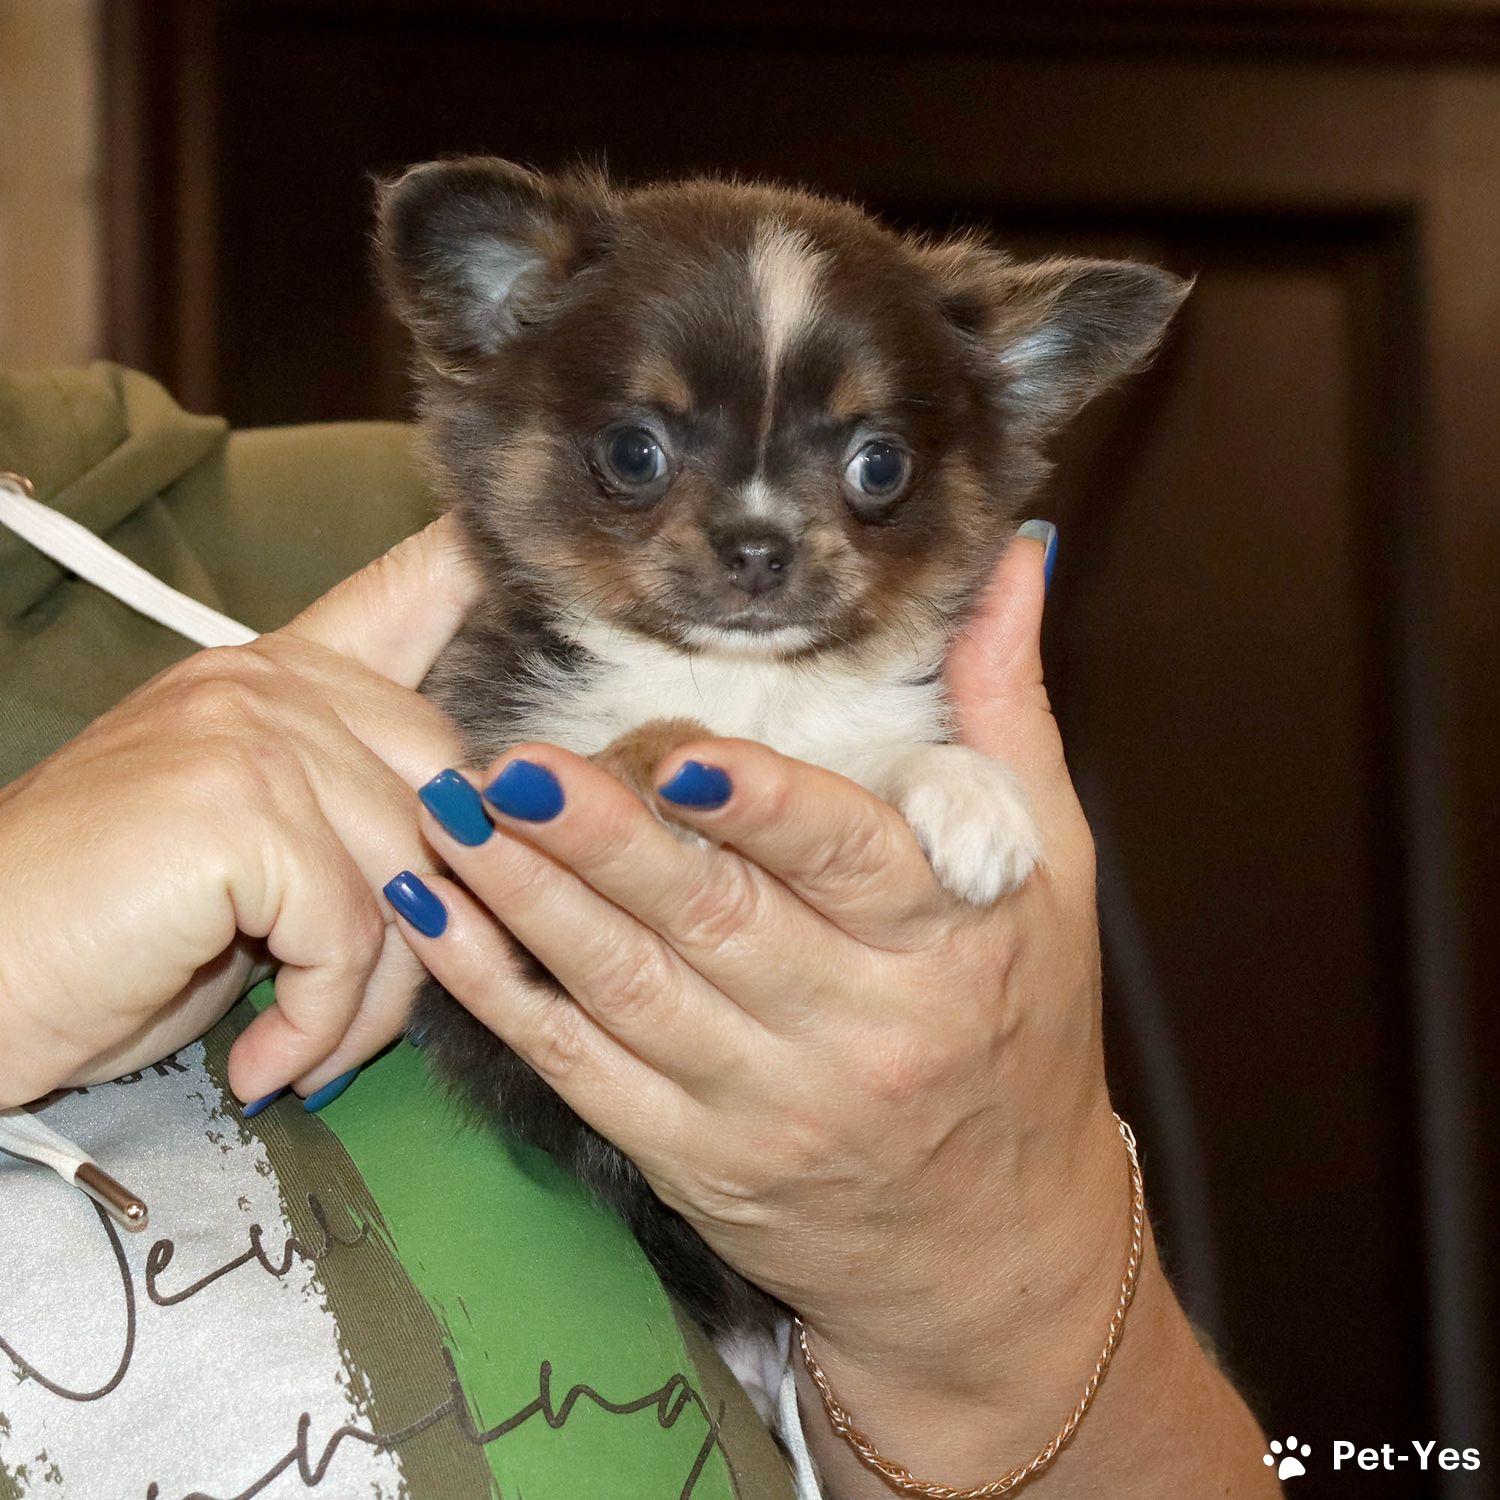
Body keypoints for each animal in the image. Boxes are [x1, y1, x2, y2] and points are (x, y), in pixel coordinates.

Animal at [378, 157, 1187, 1340]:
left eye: (880, 466)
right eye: (633, 453)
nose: (758, 545)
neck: (742, 682)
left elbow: (873, 752)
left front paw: (969, 797)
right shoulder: (495, 825)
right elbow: (635, 740)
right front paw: (673, 765)